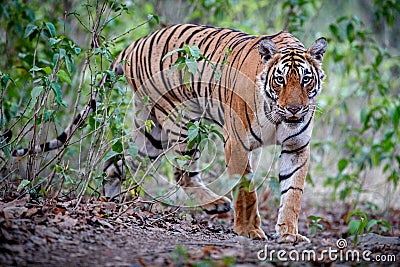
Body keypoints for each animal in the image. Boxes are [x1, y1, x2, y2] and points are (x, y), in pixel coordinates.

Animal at [7, 24, 326, 243]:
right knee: (182, 173)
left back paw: (111, 202)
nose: (295, 109)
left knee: (117, 164)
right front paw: (249, 231)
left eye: (306, 80)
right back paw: (214, 203)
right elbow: (246, 190)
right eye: (280, 79)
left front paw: (289, 234)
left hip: (150, 133)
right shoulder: (236, 142)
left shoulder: (297, 147)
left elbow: (292, 193)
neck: (280, 118)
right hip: (179, 120)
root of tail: (133, 45)